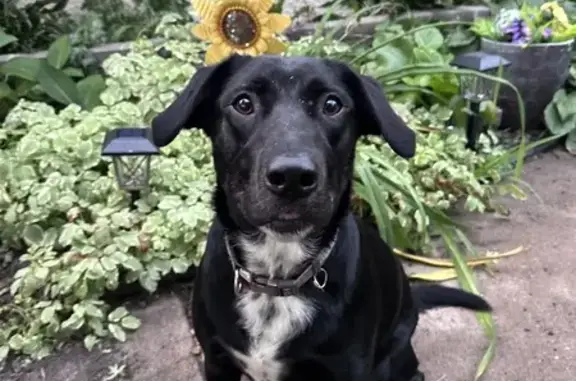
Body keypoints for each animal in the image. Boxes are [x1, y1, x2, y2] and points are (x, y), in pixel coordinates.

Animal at [151, 53, 492, 380]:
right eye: (243, 103)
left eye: (332, 104)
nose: (292, 176)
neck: (278, 281)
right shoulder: (217, 361)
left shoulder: (349, 368)